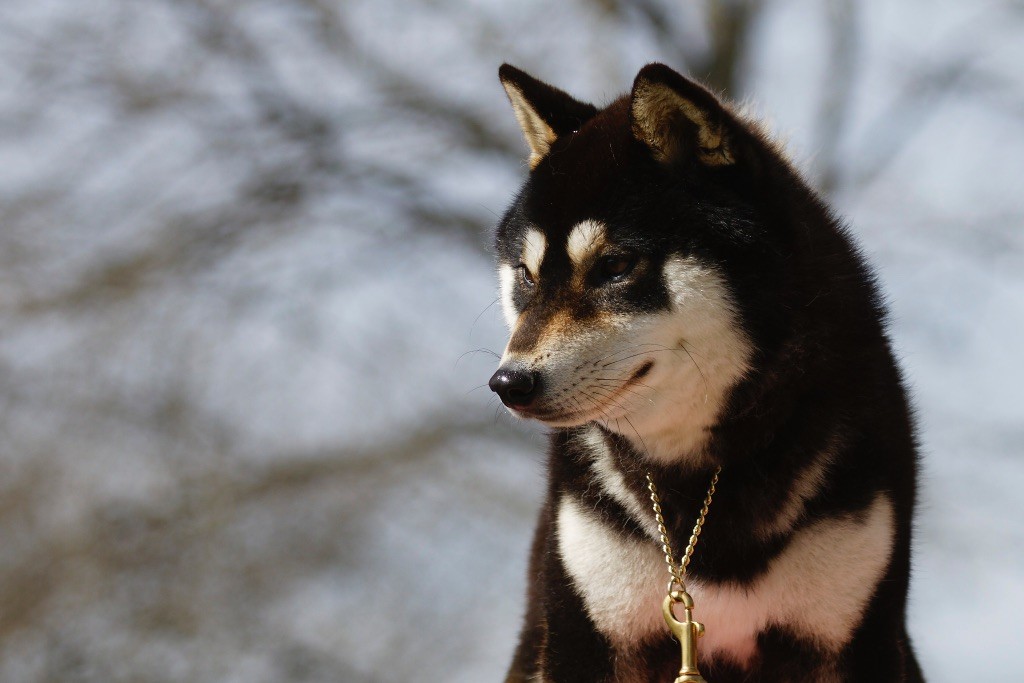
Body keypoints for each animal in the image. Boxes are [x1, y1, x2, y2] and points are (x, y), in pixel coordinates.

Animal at [483, 63, 925, 683]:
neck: (701, 474)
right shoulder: (588, 635)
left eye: (614, 266)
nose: (509, 384)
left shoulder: (850, 639)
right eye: (527, 274)